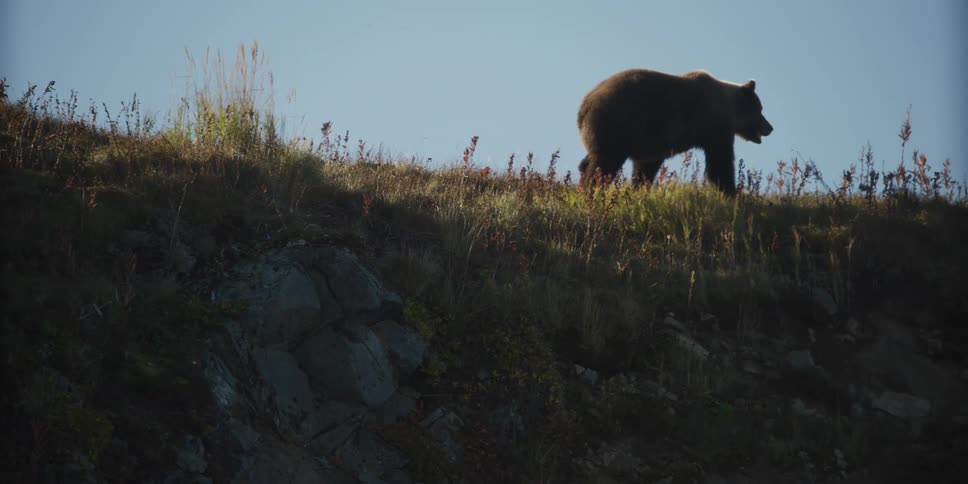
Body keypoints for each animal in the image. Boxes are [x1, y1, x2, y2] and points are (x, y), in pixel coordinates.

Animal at [577, 68, 773, 195]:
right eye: (760, 109)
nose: (770, 128)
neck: (729, 108)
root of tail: (585, 104)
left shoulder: (654, 139)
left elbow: (646, 165)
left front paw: (639, 188)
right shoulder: (713, 127)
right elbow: (720, 162)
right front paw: (731, 191)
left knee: (591, 159)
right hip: (617, 123)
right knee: (605, 163)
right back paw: (591, 190)